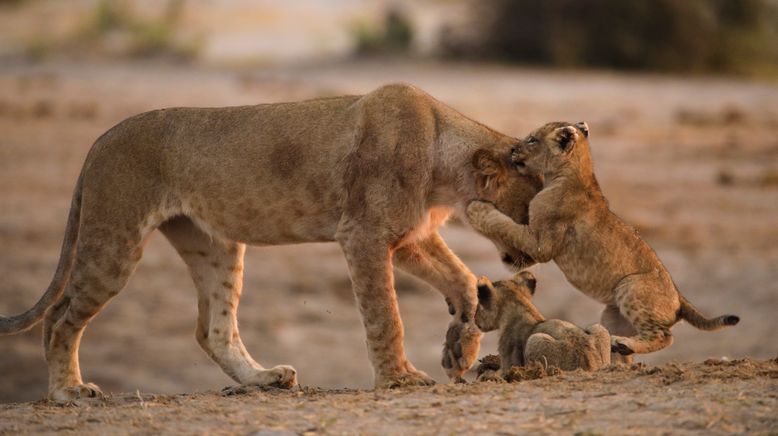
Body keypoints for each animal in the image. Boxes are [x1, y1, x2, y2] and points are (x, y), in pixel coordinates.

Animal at [1, 83, 540, 400]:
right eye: (536, 207)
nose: (535, 254)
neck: (445, 166)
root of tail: (99, 140)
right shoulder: (363, 234)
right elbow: (386, 316)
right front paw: (398, 378)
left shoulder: (409, 234)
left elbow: (462, 277)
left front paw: (461, 345)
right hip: (115, 239)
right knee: (59, 316)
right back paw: (69, 391)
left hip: (215, 246)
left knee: (213, 330)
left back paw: (264, 379)